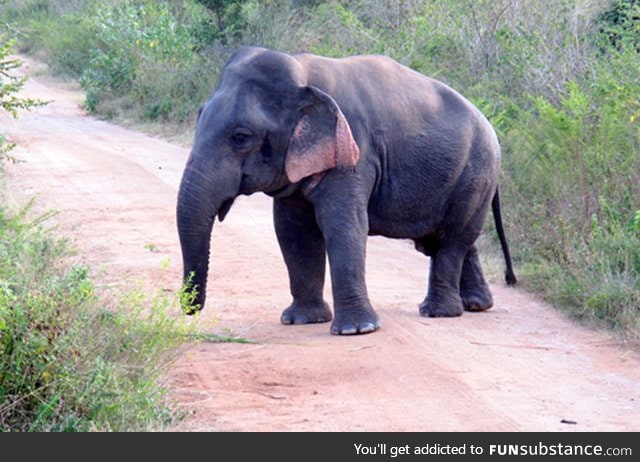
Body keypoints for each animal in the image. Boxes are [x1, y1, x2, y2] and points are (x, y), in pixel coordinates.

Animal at [175, 47, 516, 336]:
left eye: (241, 137)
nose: (190, 309)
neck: (303, 74)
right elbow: (293, 230)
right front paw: (301, 320)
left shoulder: (354, 151)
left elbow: (343, 223)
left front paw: (357, 330)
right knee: (449, 240)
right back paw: (476, 305)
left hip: (477, 173)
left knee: (451, 240)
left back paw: (439, 312)